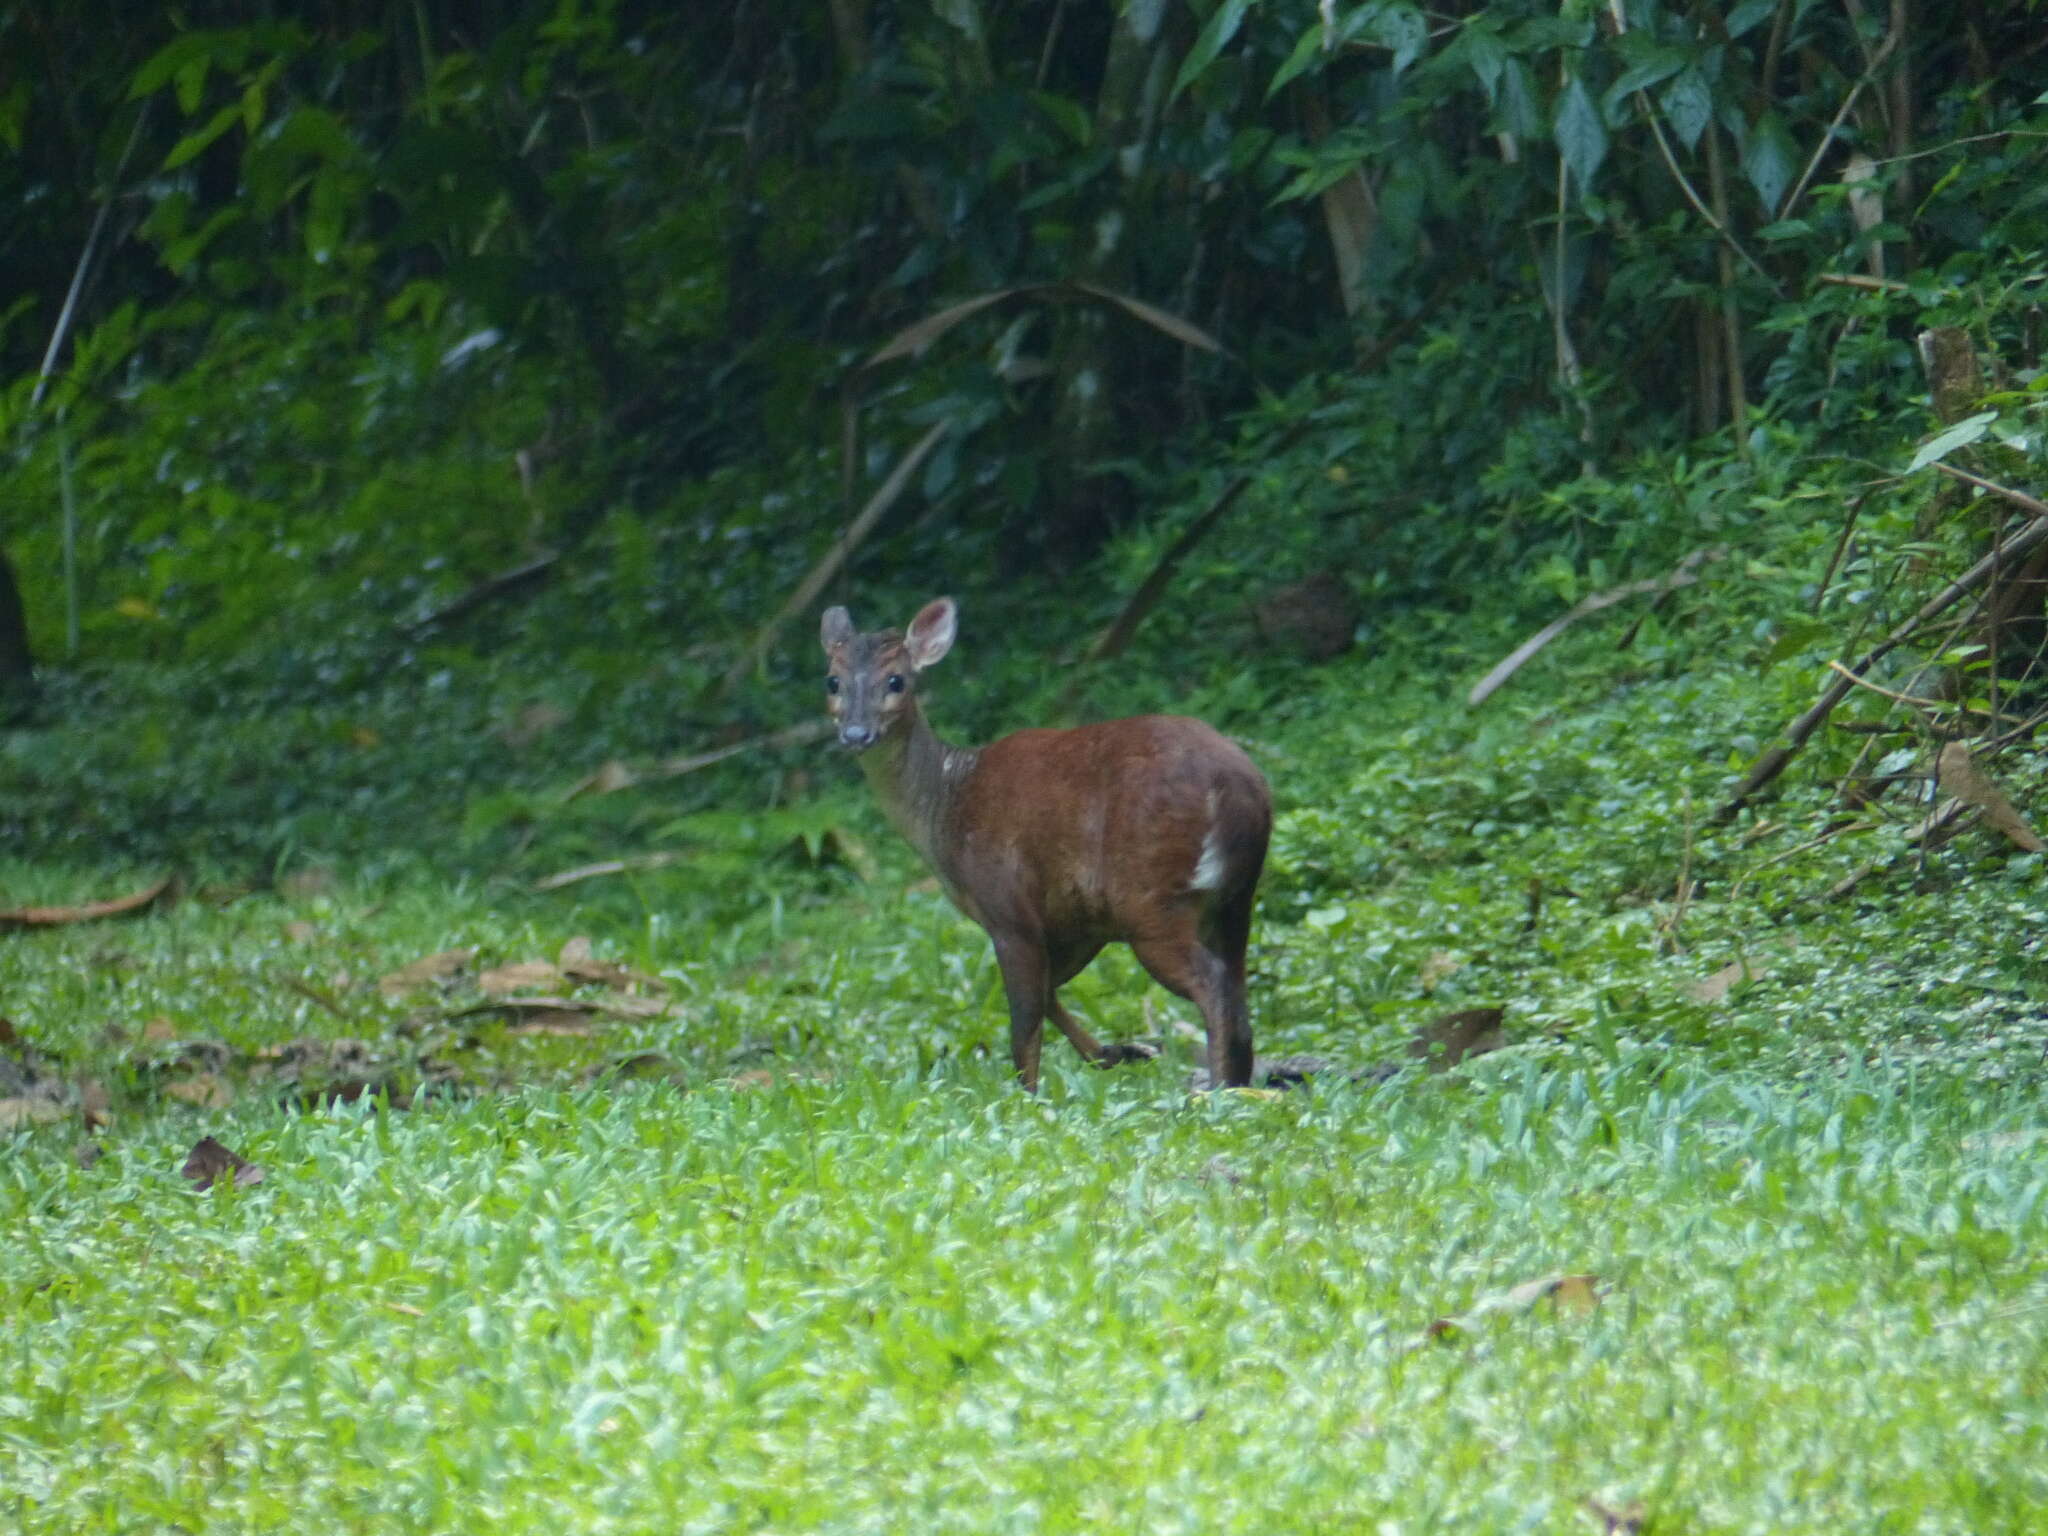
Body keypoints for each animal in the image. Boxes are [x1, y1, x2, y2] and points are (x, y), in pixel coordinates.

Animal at [815, 602, 1261, 1097]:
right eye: (832, 681)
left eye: (896, 680)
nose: (856, 733)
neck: (947, 808)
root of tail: (1241, 789)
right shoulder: (1080, 918)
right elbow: (1048, 992)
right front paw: (1115, 1054)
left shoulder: (1009, 910)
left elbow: (1024, 1025)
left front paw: (1027, 1095)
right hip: (1233, 901)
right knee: (1237, 988)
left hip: (1152, 900)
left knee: (1212, 983)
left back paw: (1217, 1090)